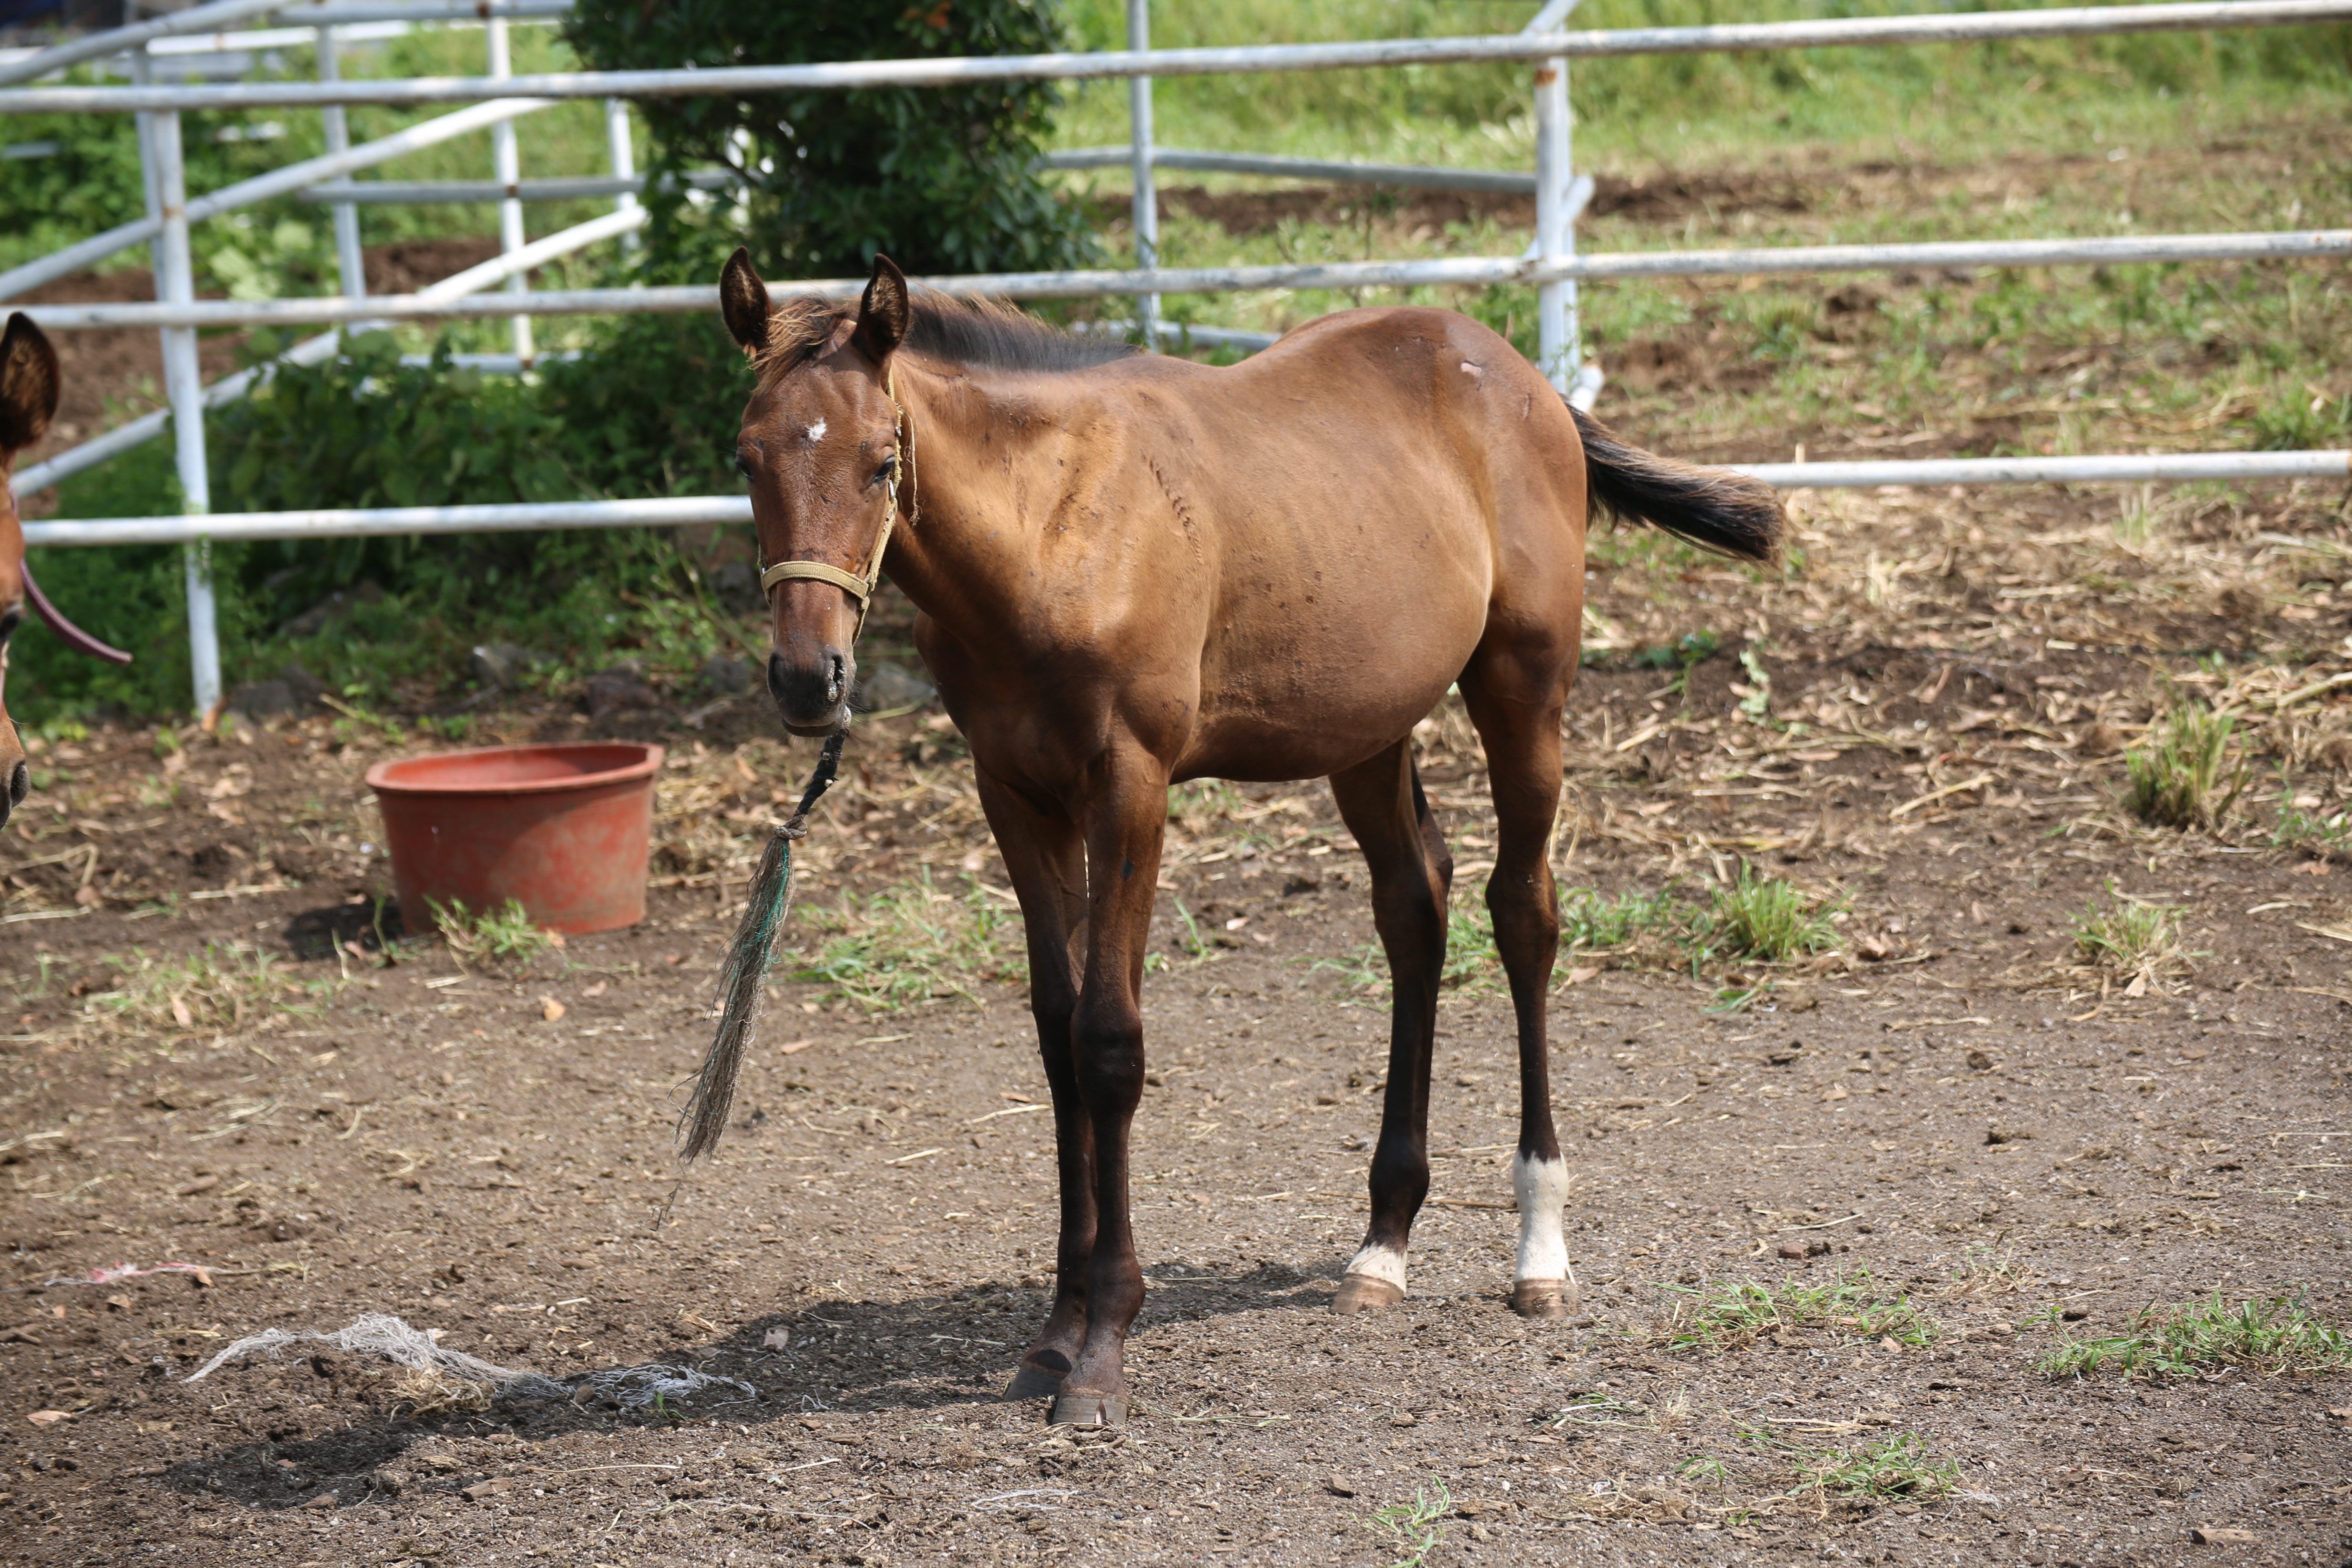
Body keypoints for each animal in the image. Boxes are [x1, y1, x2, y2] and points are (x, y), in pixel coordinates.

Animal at [719, 252, 1778, 1429]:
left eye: (880, 461)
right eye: (747, 457)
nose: (809, 680)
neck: (1056, 525)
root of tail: (1521, 378)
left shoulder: (1130, 785)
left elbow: (1109, 1044)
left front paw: (1102, 1348)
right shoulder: (1015, 794)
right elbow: (1056, 1039)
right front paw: (1052, 1333)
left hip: (1524, 689)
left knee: (1524, 914)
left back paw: (1540, 1249)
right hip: (1368, 727)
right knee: (1416, 907)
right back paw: (1381, 1245)